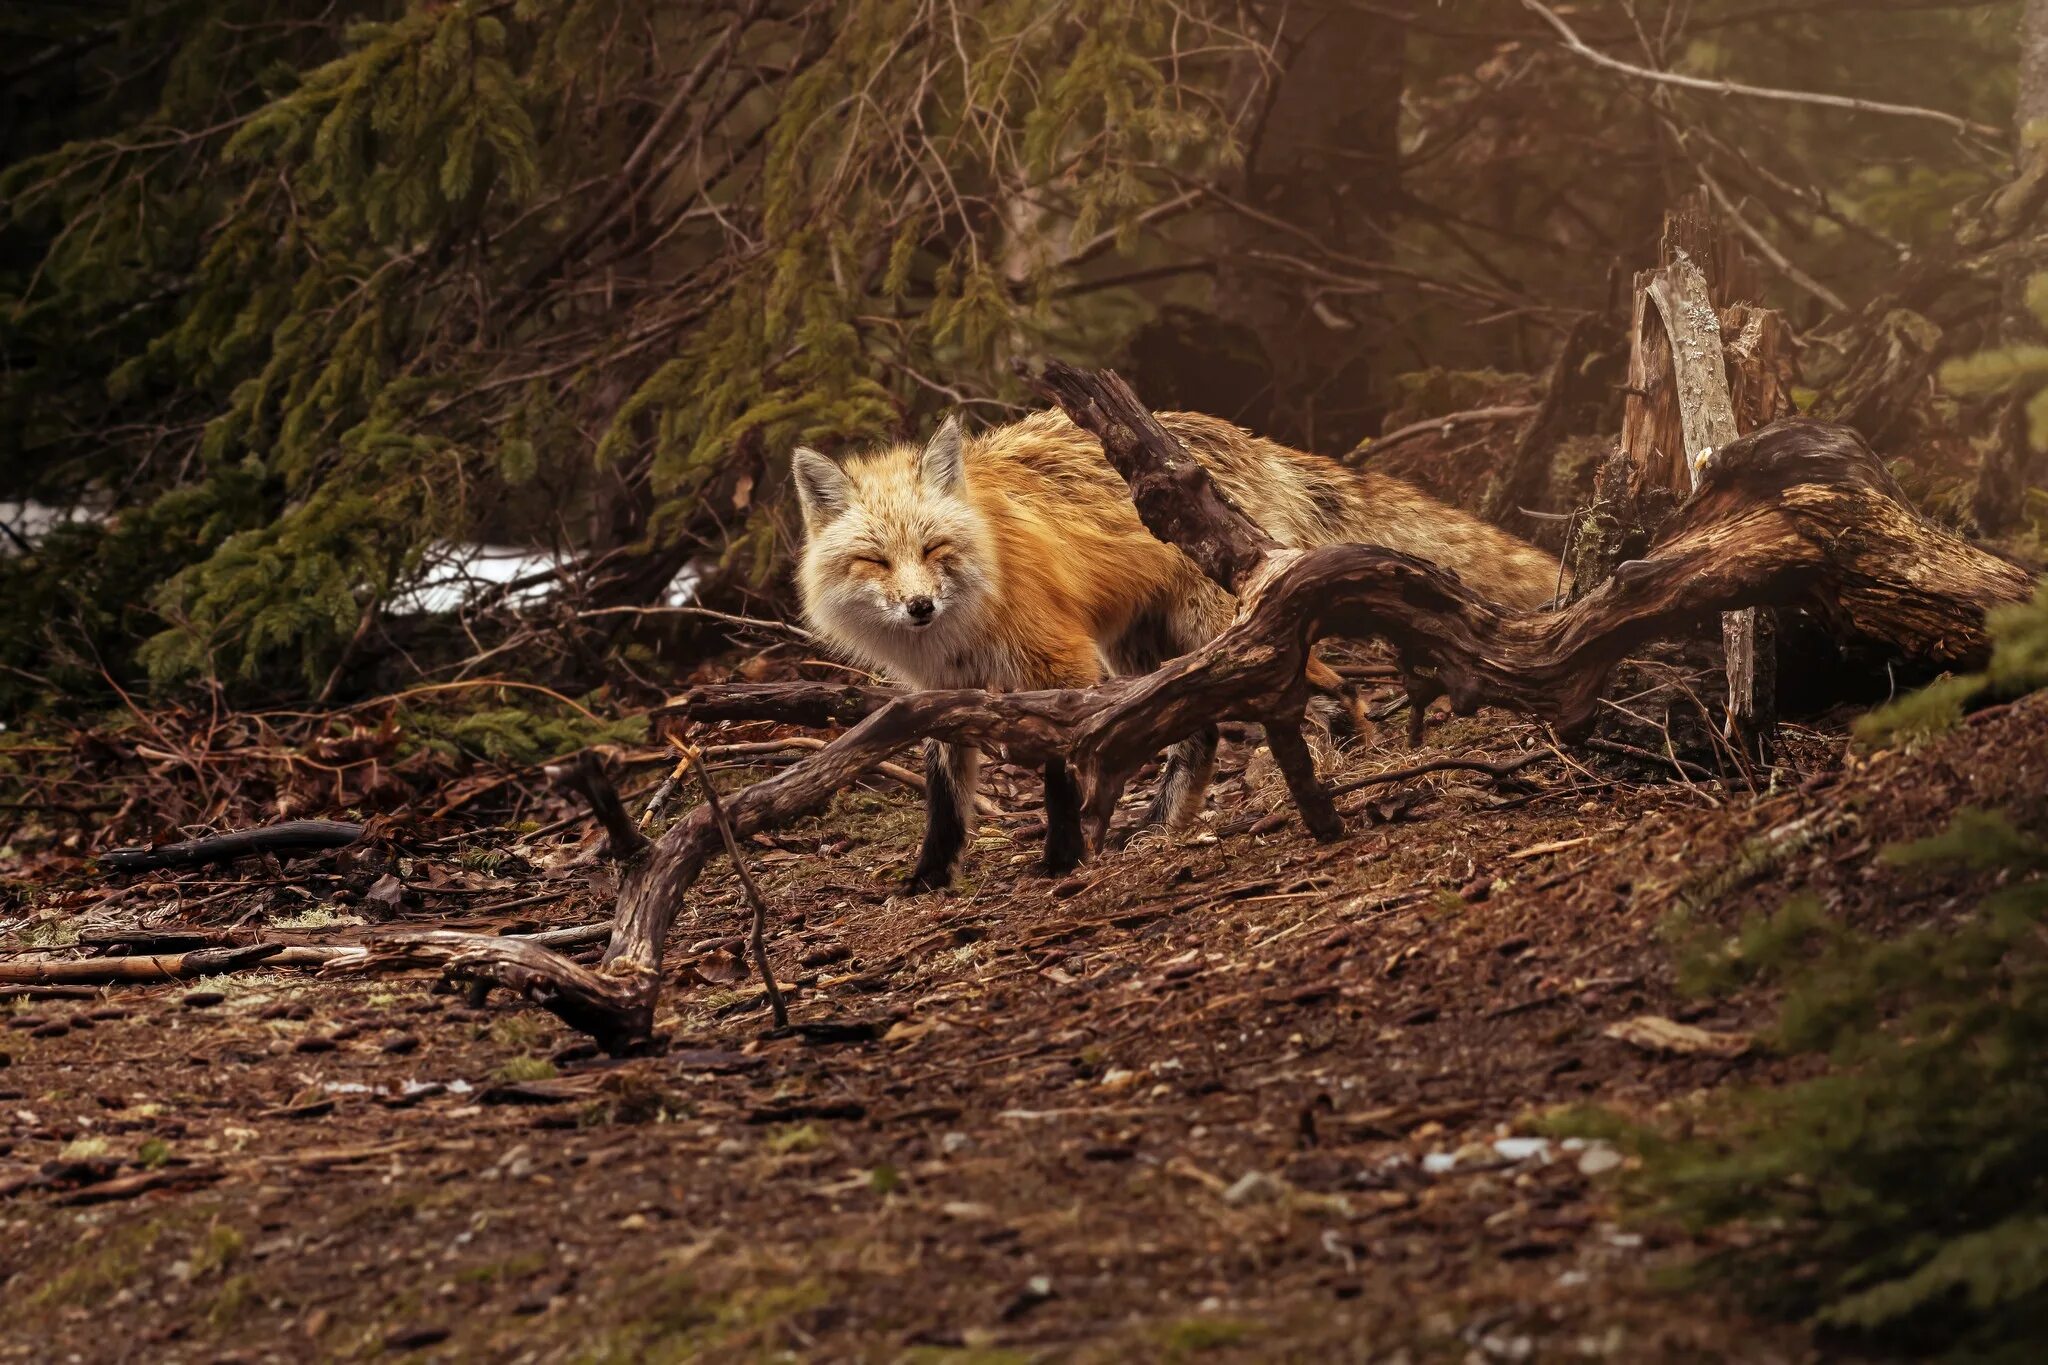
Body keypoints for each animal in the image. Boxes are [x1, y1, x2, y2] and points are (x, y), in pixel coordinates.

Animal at [790, 411, 1556, 892]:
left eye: (934, 549)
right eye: (874, 561)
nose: (919, 607)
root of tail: (1244, 437)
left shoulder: (1059, 662)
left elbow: (1061, 775)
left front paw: (1063, 857)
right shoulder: (938, 694)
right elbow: (946, 802)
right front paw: (931, 876)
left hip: (1217, 634)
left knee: (1315, 694)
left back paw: (1327, 778)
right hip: (1146, 652)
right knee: (1203, 731)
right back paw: (1167, 822)